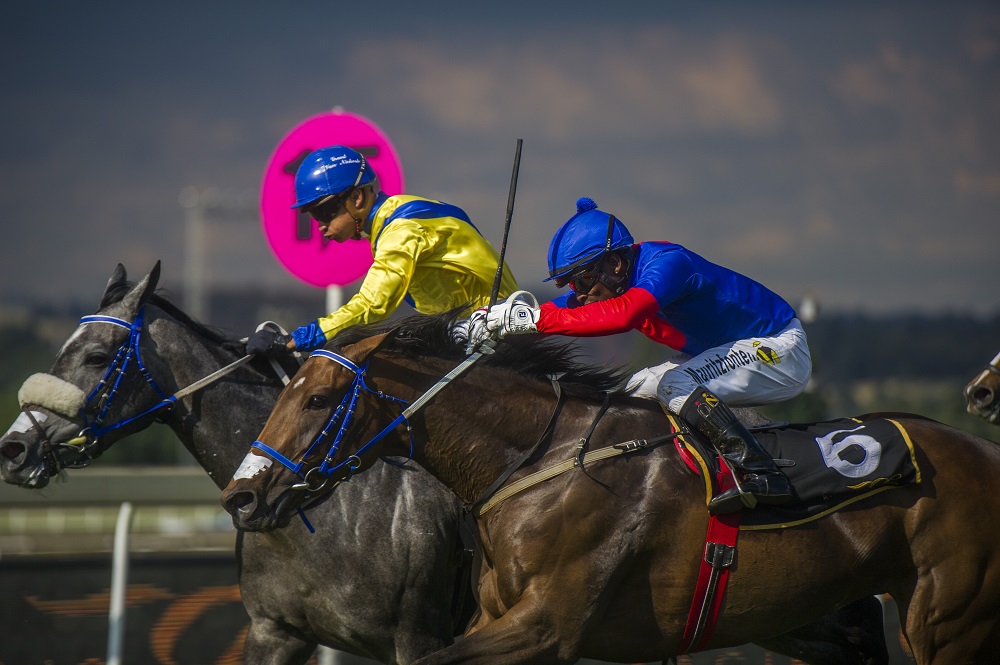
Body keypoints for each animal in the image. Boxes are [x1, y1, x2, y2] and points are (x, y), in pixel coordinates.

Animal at [221, 311, 1000, 665]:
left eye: (319, 399)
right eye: (283, 389)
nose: (241, 497)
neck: (538, 460)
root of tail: (984, 450)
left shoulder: (547, 625)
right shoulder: (493, 617)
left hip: (946, 620)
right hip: (820, 617)